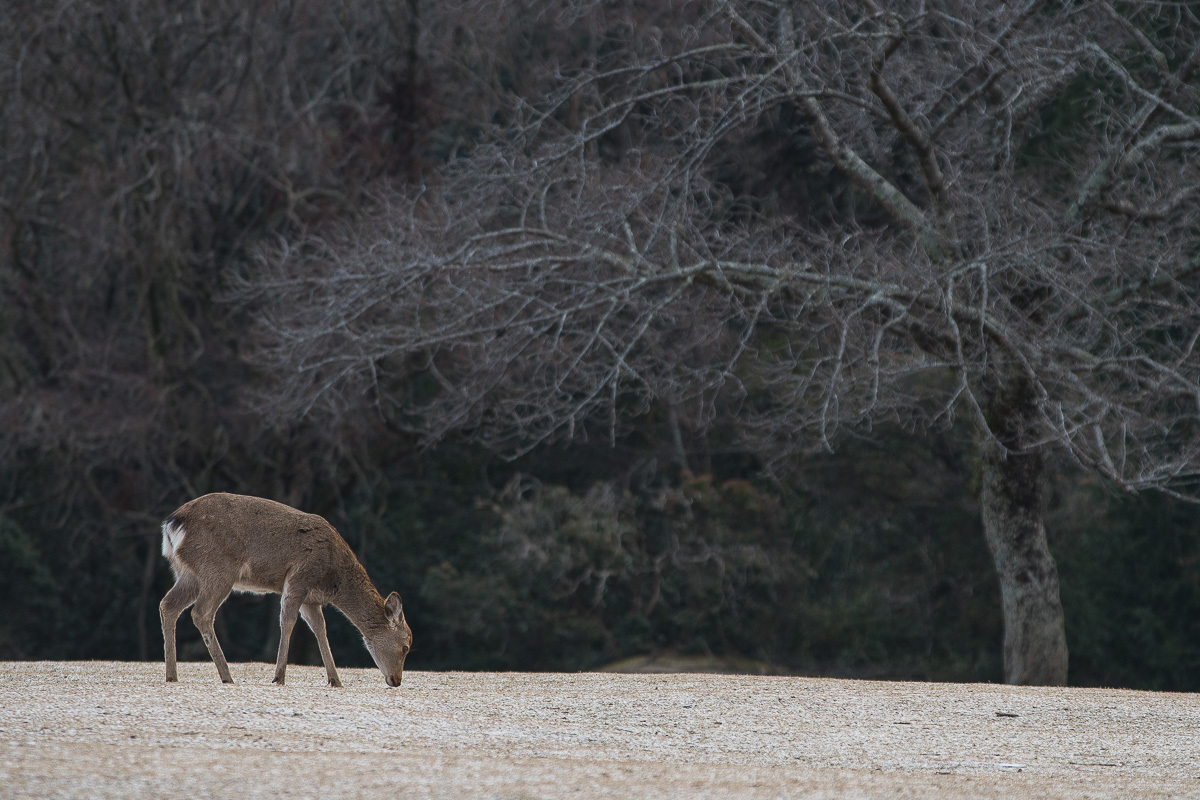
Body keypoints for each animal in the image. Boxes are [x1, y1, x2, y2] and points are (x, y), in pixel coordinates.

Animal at [160, 494, 412, 690]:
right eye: (406, 646)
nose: (396, 680)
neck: (334, 579)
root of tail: (172, 524)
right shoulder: (298, 578)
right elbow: (288, 621)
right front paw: (278, 676)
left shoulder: (311, 599)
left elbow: (320, 629)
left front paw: (335, 680)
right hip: (218, 570)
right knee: (201, 613)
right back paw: (226, 675)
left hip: (188, 573)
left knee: (168, 605)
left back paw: (172, 674)